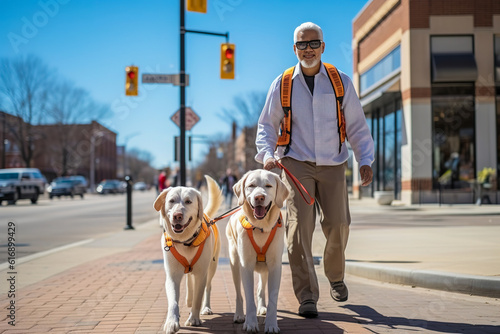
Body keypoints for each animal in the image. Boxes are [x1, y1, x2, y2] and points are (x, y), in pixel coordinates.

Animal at [153, 176, 222, 332]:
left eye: (188, 201)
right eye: (171, 201)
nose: (177, 215)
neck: (185, 241)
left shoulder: (201, 274)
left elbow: (198, 297)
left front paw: (194, 319)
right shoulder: (172, 275)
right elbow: (173, 301)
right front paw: (172, 322)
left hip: (212, 267)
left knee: (207, 288)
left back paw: (205, 307)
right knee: (189, 282)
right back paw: (188, 299)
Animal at [227, 171, 290, 332]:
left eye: (268, 186)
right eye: (251, 185)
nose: (259, 197)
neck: (261, 227)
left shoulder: (275, 266)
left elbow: (273, 298)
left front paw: (271, 324)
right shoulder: (246, 266)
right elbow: (248, 297)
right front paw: (250, 323)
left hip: (265, 268)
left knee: (261, 287)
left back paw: (262, 307)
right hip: (235, 264)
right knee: (239, 294)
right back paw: (239, 314)